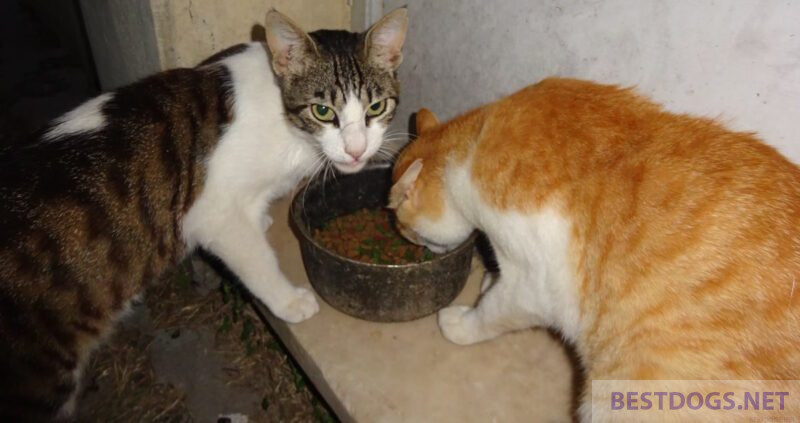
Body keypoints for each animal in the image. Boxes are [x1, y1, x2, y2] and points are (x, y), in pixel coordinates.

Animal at [0, 6, 406, 420]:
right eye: (322, 111)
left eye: (376, 107)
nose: (356, 150)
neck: (286, 123)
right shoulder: (212, 213)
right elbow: (254, 256)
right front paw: (289, 301)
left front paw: (262, 218)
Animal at [390, 78, 800, 420]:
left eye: (403, 226)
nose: (408, 240)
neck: (471, 150)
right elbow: (494, 283)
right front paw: (488, 281)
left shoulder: (532, 288)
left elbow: (491, 312)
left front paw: (460, 323)